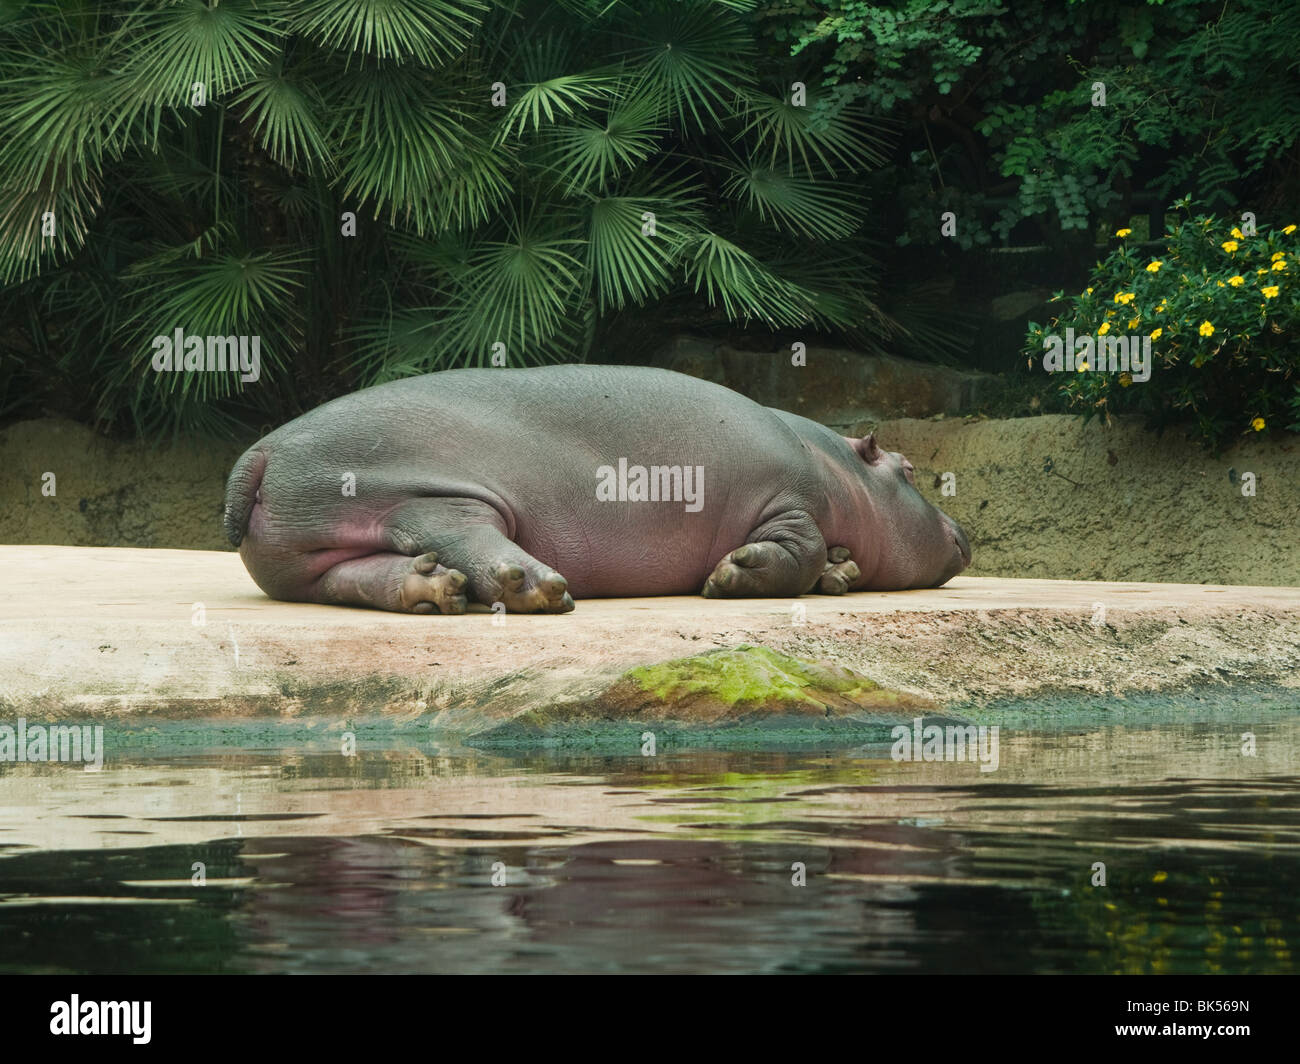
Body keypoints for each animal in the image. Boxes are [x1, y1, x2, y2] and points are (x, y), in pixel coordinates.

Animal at [223, 365, 970, 614]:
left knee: (358, 578)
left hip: (301, 564)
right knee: (453, 534)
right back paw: (540, 588)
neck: (838, 467)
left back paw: (431, 592)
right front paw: (733, 576)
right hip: (437, 491)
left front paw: (840, 574)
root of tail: (261, 449)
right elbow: (802, 547)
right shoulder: (788, 500)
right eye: (908, 469)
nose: (965, 535)